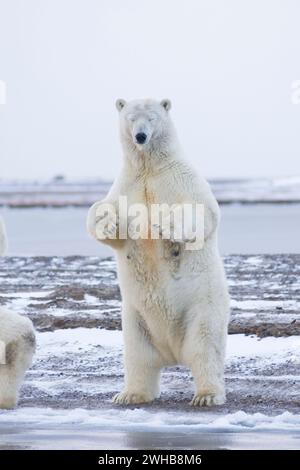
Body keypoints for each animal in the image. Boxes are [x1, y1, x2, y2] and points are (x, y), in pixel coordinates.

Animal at [86, 97, 230, 406]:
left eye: (152, 118)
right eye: (131, 118)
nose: (140, 136)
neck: (149, 167)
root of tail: (173, 352)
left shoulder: (181, 178)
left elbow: (202, 211)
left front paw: (166, 224)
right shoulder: (127, 185)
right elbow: (105, 213)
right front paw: (108, 221)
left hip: (202, 307)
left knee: (205, 348)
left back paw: (207, 395)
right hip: (135, 319)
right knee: (138, 356)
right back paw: (130, 394)